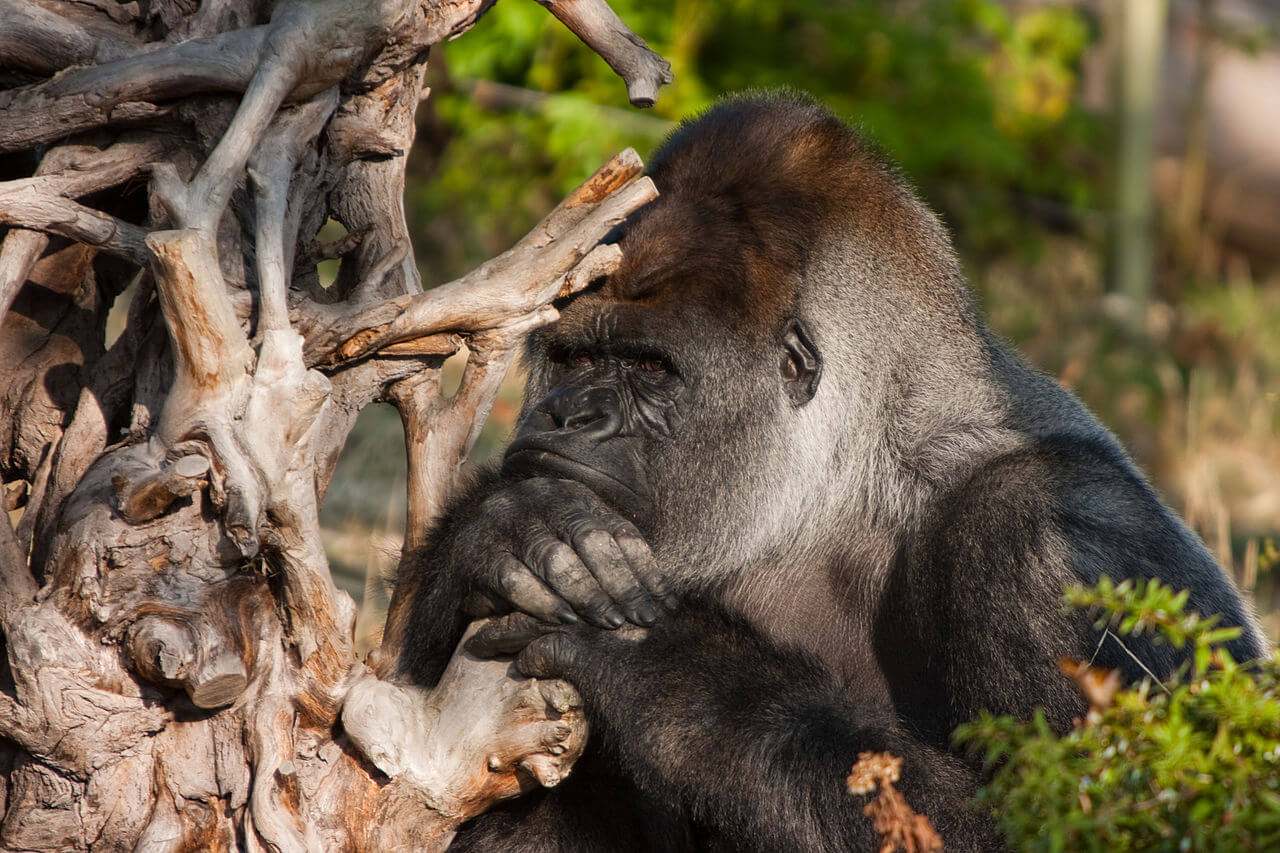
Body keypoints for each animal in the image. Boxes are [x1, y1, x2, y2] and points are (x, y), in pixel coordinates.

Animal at [393, 91, 1267, 851]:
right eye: (573, 358)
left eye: (648, 367)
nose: (565, 414)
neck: (842, 486)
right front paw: (499, 530)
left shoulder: (1046, 537)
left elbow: (1066, 820)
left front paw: (675, 673)